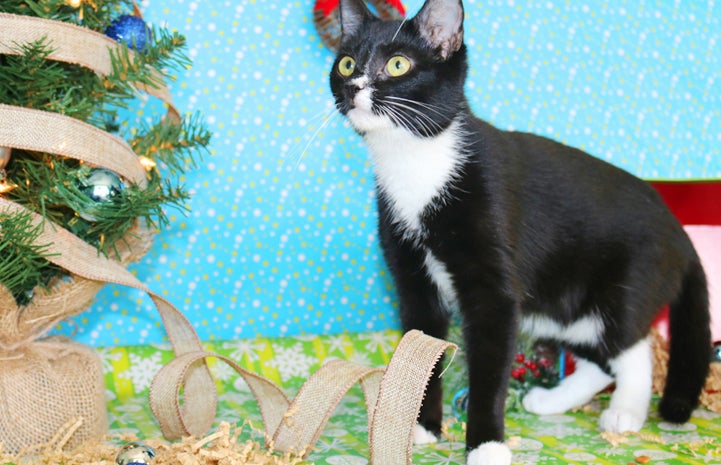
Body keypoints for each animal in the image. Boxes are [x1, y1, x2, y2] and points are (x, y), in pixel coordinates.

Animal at [330, 0, 712, 464]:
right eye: (347, 63)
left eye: (398, 64)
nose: (354, 87)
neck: (418, 163)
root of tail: (680, 233)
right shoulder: (413, 283)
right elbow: (424, 344)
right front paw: (421, 426)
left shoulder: (494, 289)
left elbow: (490, 367)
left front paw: (487, 445)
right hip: (560, 301)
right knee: (598, 357)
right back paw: (550, 400)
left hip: (628, 283)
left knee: (630, 347)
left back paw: (625, 412)